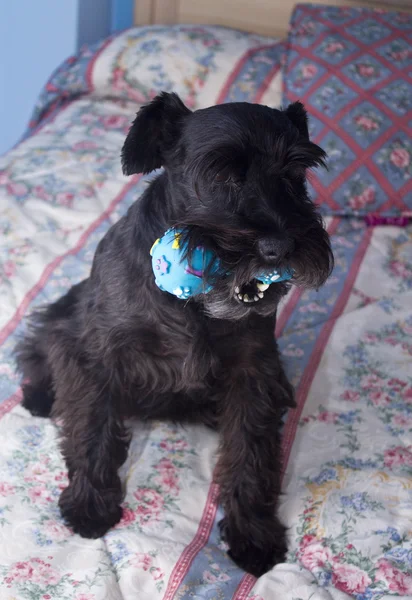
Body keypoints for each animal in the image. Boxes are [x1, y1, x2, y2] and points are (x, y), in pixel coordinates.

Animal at [15, 94, 332, 576]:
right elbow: (91, 428)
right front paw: (89, 506)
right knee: (39, 346)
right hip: (64, 314)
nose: (279, 247)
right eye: (219, 173)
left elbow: (251, 451)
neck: (192, 305)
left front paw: (254, 533)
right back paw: (39, 395)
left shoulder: (254, 370)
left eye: (295, 174)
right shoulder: (97, 354)